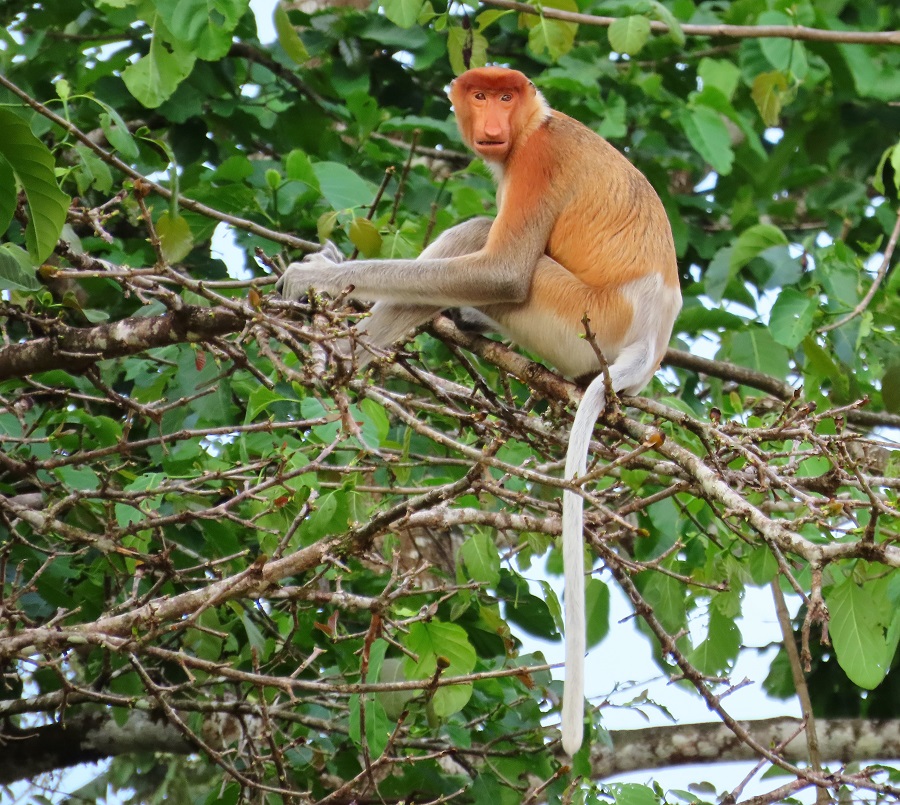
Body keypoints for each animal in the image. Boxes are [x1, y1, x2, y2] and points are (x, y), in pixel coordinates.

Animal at [278, 64, 680, 752]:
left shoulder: (538, 162)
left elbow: (503, 272)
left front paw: (318, 279)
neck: (536, 124)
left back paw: (339, 357)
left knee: (483, 246)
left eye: (507, 96)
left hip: (578, 318)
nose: (493, 120)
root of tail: (646, 342)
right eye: (481, 94)